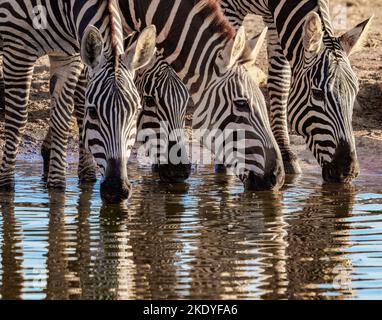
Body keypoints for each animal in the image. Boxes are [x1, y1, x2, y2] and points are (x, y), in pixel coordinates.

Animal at [0, 0, 157, 202]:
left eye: (136, 111)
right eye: (92, 112)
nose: (117, 189)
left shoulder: (68, 57)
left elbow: (61, 120)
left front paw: (57, 186)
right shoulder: (18, 49)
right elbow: (17, 120)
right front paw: (6, 185)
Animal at [219, 0, 372, 182]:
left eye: (354, 93)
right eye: (317, 94)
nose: (347, 171)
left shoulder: (275, 21)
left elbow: (280, 81)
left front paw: (286, 155)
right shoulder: (228, 8)